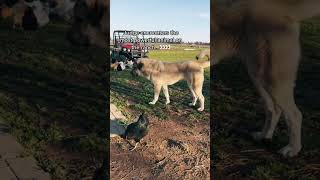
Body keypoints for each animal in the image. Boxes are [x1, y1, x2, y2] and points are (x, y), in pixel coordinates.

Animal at [212, 0, 320, 158]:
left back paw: (292, 149)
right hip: (258, 77)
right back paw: (264, 136)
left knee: (295, 115)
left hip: (272, 79)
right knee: (273, 109)